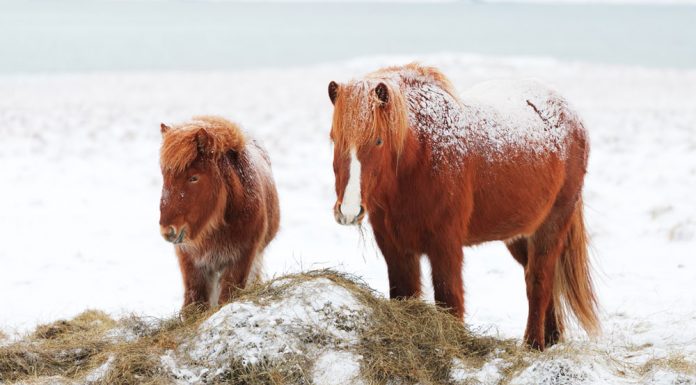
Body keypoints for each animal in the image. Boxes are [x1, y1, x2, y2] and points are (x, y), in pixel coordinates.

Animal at [159, 115, 278, 310]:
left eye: (194, 178)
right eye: (165, 177)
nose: (167, 231)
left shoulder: (240, 259)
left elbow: (226, 298)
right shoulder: (193, 264)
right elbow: (195, 303)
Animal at [330, 63, 600, 348]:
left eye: (379, 140)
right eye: (334, 138)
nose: (349, 211)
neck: (422, 157)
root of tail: (571, 114)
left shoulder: (445, 246)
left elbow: (449, 300)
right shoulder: (396, 249)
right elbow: (404, 294)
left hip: (551, 226)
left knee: (539, 280)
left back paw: (533, 345)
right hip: (519, 234)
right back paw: (551, 339)